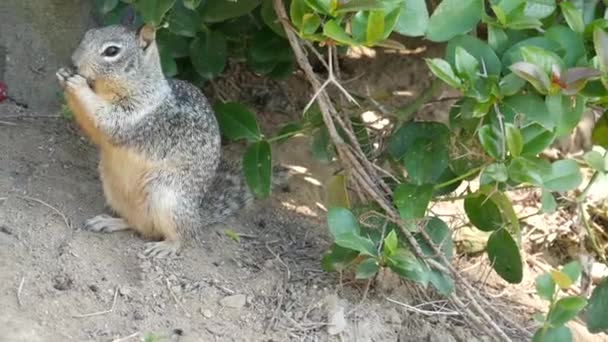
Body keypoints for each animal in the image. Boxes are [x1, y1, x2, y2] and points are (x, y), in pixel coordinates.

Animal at [55, 24, 286, 258]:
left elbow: (107, 120)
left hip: (167, 197)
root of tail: (197, 215)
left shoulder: (139, 116)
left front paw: (78, 84)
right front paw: (64, 75)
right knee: (139, 225)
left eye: (112, 51)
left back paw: (167, 246)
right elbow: (94, 130)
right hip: (113, 189)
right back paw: (110, 222)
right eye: (87, 35)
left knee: (182, 235)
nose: (74, 62)